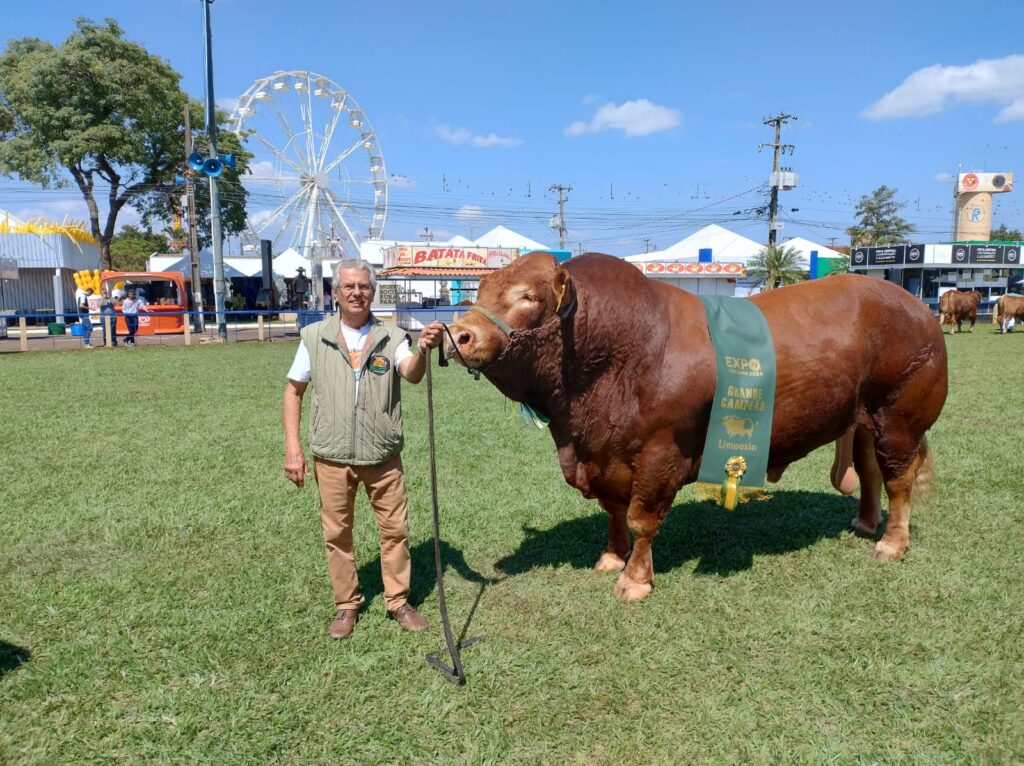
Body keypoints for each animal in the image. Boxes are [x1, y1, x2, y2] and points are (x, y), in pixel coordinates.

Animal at [444, 253, 946, 602]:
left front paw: (635, 580)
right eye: (479, 290)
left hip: (900, 416)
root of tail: (918, 307)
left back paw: (891, 544)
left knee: (899, 479)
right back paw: (864, 522)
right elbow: (613, 512)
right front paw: (610, 558)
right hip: (863, 421)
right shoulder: (604, 453)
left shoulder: (660, 452)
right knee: (870, 472)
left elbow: (641, 519)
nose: (459, 335)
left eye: (528, 296)